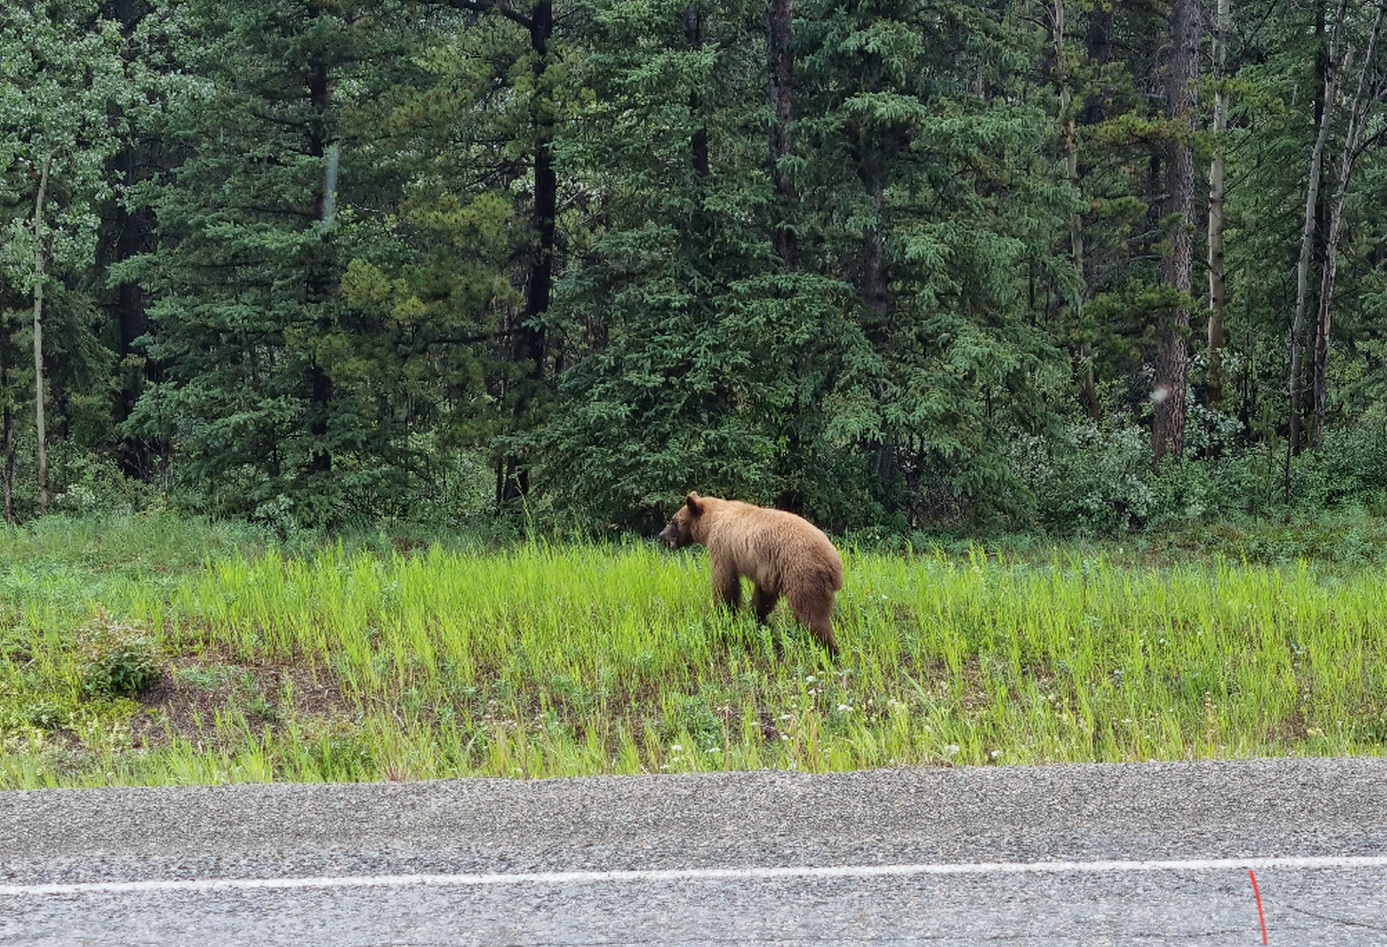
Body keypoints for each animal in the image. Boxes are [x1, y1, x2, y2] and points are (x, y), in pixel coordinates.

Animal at [660, 493, 843, 654]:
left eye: (673, 521)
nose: (662, 535)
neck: (712, 521)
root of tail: (834, 564)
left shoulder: (723, 548)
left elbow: (725, 583)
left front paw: (723, 616)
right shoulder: (769, 569)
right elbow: (764, 594)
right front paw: (757, 619)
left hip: (802, 574)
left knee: (812, 614)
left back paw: (829, 650)